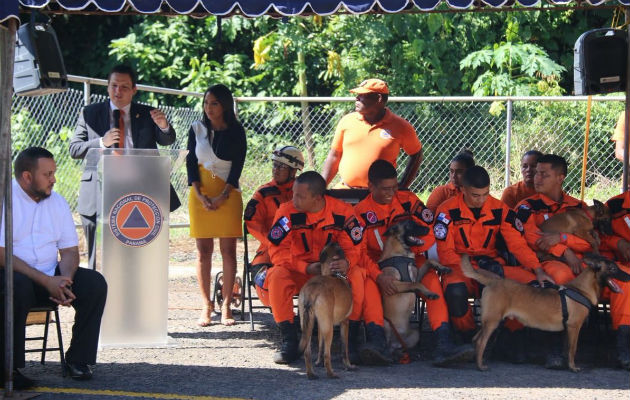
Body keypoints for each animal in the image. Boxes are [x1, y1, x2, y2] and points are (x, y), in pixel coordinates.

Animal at [298, 242, 354, 380]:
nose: (334, 241)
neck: (333, 275)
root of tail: (312, 289)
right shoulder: (345, 322)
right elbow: (344, 348)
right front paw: (348, 366)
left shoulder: (319, 325)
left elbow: (320, 345)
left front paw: (318, 362)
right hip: (329, 329)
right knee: (327, 354)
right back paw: (331, 373)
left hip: (308, 325)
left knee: (307, 352)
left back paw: (311, 374)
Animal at [378, 219, 452, 354]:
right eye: (410, 225)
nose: (429, 229)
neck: (402, 252)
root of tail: (396, 341)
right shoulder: (394, 284)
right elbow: (417, 284)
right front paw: (430, 293)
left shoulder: (415, 276)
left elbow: (429, 262)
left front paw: (442, 267)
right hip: (384, 323)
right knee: (386, 345)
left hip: (415, 334)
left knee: (402, 348)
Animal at [464, 253, 630, 372]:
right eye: (613, 269)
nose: (628, 276)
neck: (581, 289)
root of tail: (493, 280)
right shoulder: (574, 327)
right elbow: (573, 349)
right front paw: (573, 367)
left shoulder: (568, 329)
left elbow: (567, 349)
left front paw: (566, 365)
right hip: (493, 321)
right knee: (481, 341)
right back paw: (480, 366)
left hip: (489, 321)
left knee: (475, 339)